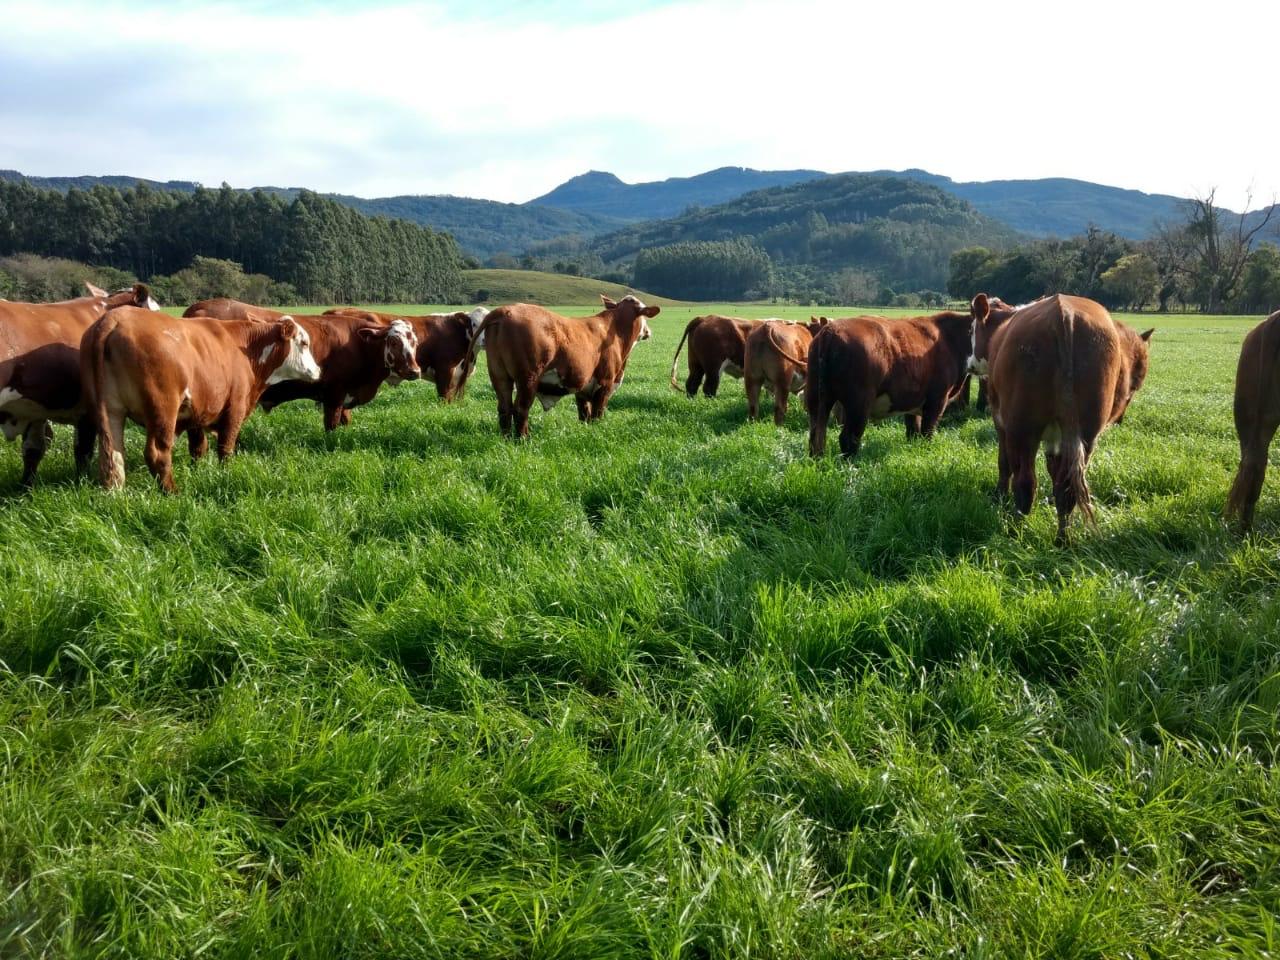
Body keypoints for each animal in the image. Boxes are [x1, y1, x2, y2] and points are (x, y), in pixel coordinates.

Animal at [81, 305, 322, 488]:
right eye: (304, 343)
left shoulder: (197, 412)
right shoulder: (235, 408)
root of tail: (114, 318)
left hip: (111, 412)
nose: (318, 370)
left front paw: (197, 471)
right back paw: (172, 492)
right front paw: (226, 473)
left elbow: (198, 448)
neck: (244, 349)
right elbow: (226, 447)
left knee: (112, 456)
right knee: (157, 453)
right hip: (163, 410)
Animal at [476, 296, 665, 440]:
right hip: (528, 379)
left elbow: (584, 413)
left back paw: (506, 438)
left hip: (499, 376)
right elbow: (597, 413)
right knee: (521, 409)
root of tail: (506, 310)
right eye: (644, 315)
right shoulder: (605, 383)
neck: (614, 331)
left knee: (504, 408)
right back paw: (524, 439)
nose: (648, 331)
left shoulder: (583, 387)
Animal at [803, 300, 983, 463]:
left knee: (816, 436)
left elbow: (913, 429)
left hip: (817, 398)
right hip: (859, 403)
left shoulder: (913, 399)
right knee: (848, 438)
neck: (950, 338)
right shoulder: (937, 399)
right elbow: (927, 432)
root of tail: (830, 331)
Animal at [983, 295, 1157, 542]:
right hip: (1084, 434)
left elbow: (1004, 463)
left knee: (1025, 482)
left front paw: (1000, 495)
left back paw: (1016, 533)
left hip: (1023, 429)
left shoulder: (1003, 424)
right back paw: (1062, 540)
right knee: (1065, 488)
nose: (1120, 418)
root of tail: (1063, 314)